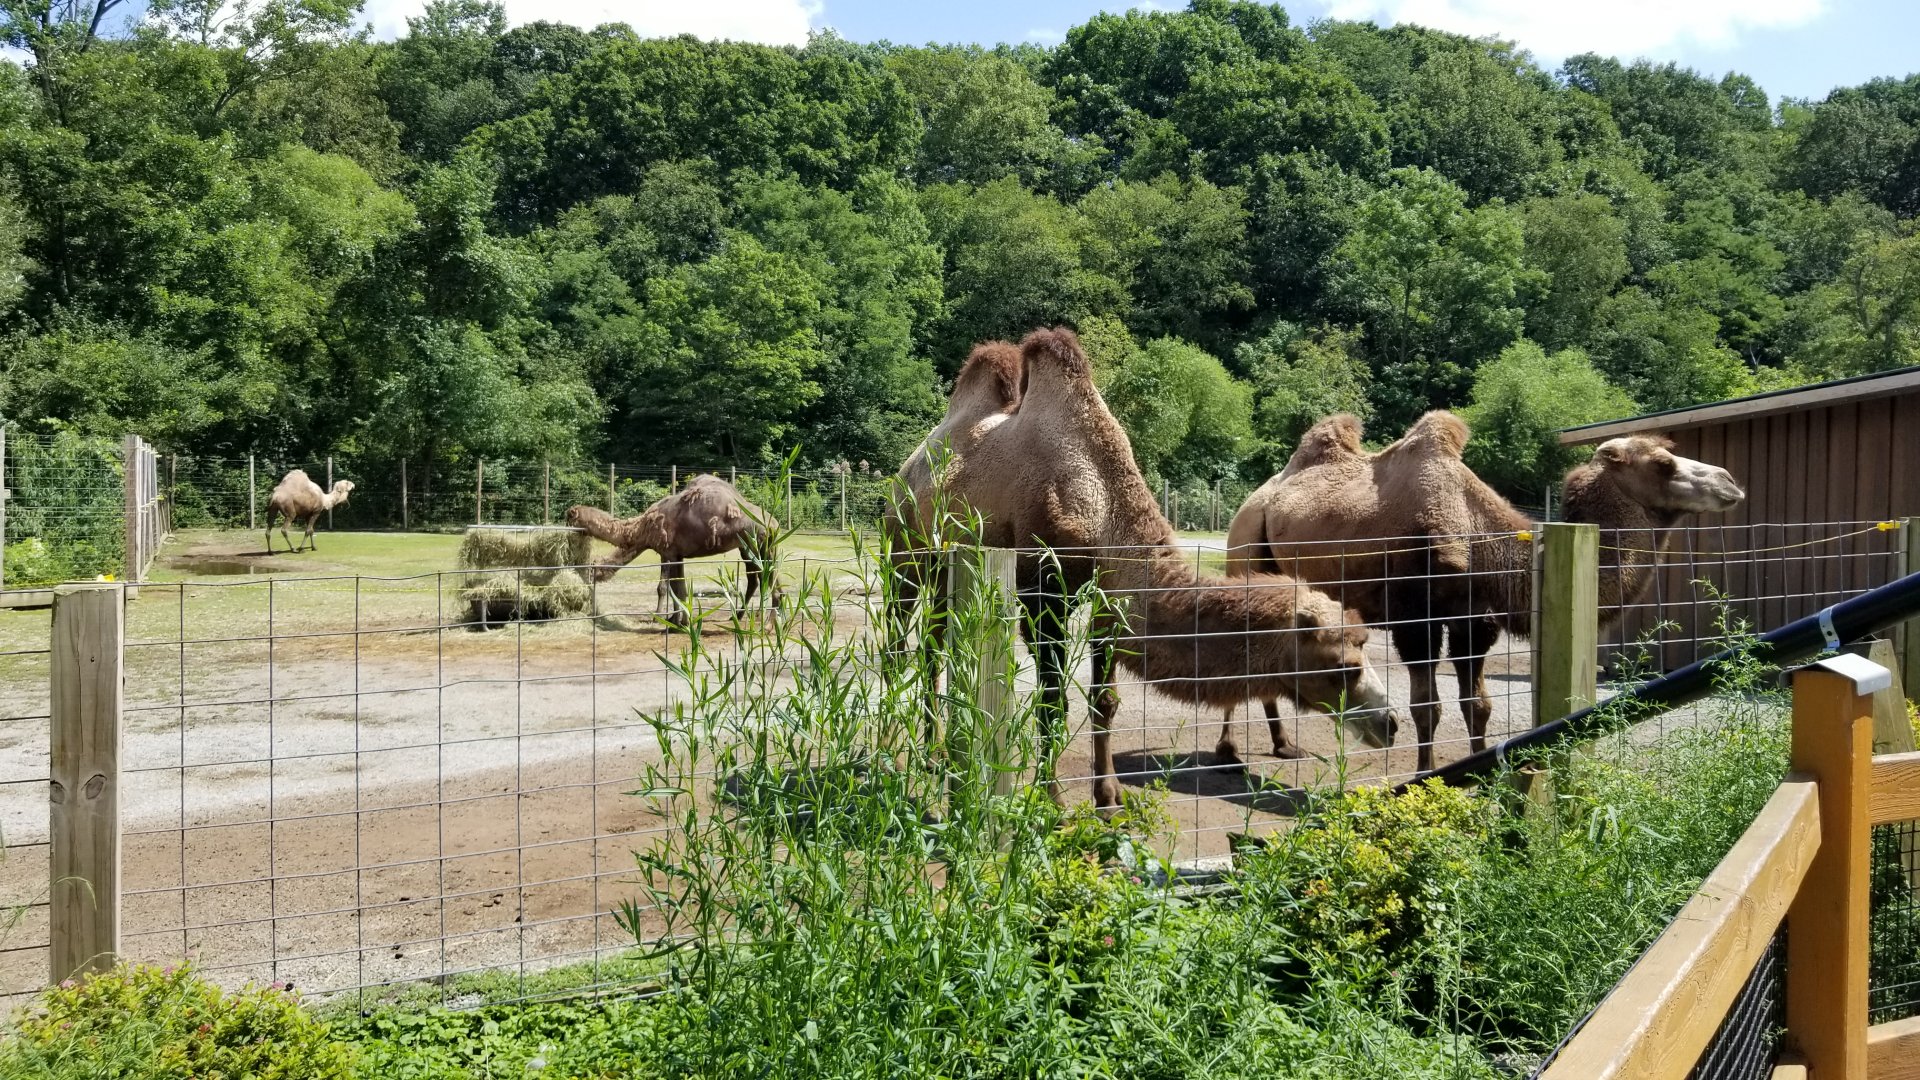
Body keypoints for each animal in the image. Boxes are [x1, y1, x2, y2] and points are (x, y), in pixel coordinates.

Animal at [564, 474, 777, 624]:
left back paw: (764, 620)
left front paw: (663, 618)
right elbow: (678, 587)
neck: (641, 528)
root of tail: (774, 524)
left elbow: (666, 587)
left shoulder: (667, 551)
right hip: (749, 548)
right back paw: (742, 616)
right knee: (757, 579)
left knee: (765, 577)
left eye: (592, 571)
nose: (588, 585)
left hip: (758, 545)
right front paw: (677, 619)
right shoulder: (677, 554)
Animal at [886, 328, 1403, 808]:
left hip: (948, 570)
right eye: (1345, 666)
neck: (1100, 503)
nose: (1390, 722)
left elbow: (1105, 702)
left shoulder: (1108, 601)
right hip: (904, 549)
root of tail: (906, 470)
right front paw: (1052, 800)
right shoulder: (1043, 593)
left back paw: (936, 753)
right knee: (899, 636)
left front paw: (1109, 795)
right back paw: (901, 754)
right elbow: (1053, 701)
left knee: (933, 643)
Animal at [1225, 411, 1746, 772]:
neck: (1486, 545)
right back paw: (1230, 751)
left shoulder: (1476, 621)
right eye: (1662, 463)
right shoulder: (1416, 619)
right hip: (1245, 544)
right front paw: (1423, 776)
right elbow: (1426, 707)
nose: (1731, 481)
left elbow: (1478, 706)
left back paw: (1283, 746)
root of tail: (1256, 497)